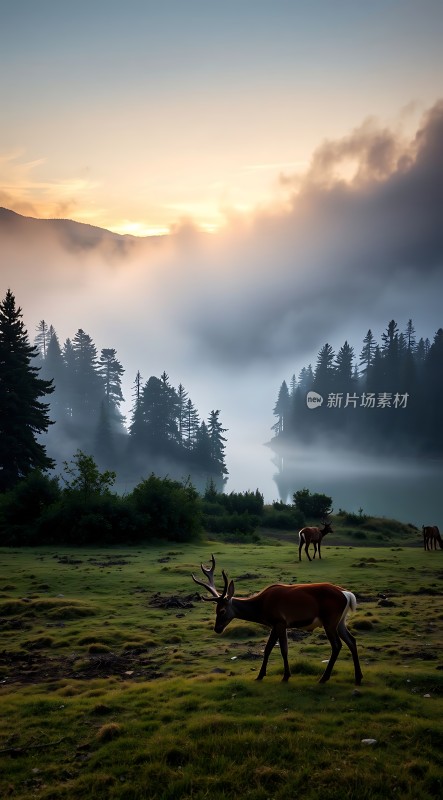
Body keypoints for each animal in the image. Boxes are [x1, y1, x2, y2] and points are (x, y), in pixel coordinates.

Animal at [192, 554, 363, 686]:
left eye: (222, 610)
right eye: (215, 610)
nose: (217, 628)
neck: (261, 607)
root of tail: (347, 595)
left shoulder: (280, 622)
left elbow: (283, 649)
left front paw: (286, 676)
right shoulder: (274, 625)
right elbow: (267, 649)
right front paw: (260, 675)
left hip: (330, 620)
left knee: (337, 645)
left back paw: (324, 678)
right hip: (340, 621)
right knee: (352, 641)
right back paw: (358, 677)